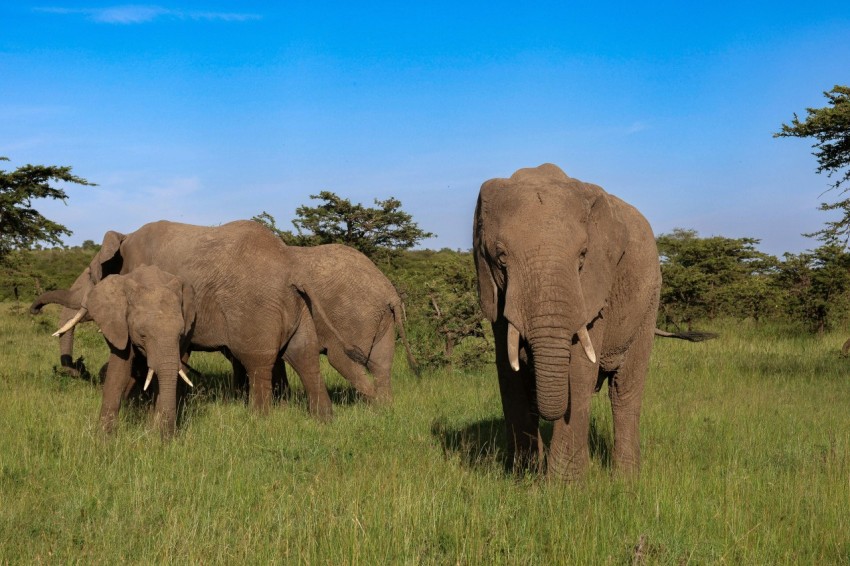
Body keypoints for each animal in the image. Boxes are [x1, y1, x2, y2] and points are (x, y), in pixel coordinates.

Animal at [34, 266, 194, 440]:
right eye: (142, 335)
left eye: (180, 334)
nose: (34, 310)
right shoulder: (118, 322)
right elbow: (119, 371)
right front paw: (104, 439)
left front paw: (156, 436)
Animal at [470, 162, 664, 482]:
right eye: (501, 258)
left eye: (583, 256)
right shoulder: (498, 296)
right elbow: (508, 373)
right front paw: (524, 478)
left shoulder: (595, 287)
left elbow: (580, 369)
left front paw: (564, 488)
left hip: (649, 301)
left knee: (624, 391)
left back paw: (626, 480)